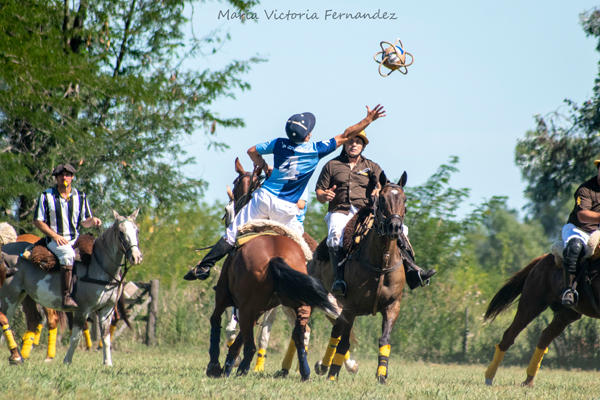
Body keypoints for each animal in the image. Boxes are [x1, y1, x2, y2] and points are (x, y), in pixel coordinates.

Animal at [0, 211, 142, 368]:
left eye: (137, 231)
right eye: (121, 232)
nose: (136, 257)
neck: (99, 266)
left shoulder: (107, 309)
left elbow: (105, 338)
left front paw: (107, 363)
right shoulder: (82, 309)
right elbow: (75, 337)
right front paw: (67, 361)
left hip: (23, 295)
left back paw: (19, 356)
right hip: (9, 295)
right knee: (5, 319)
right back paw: (17, 356)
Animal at [310, 173, 408, 384]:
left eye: (404, 200)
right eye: (382, 199)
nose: (395, 227)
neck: (381, 263)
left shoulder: (392, 306)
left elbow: (384, 340)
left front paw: (381, 375)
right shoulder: (351, 308)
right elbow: (344, 343)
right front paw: (333, 375)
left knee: (335, 330)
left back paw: (323, 366)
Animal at [482, 253, 600, 388]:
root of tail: (543, 258)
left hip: (567, 314)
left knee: (545, 337)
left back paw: (528, 381)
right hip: (531, 305)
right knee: (509, 336)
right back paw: (489, 377)